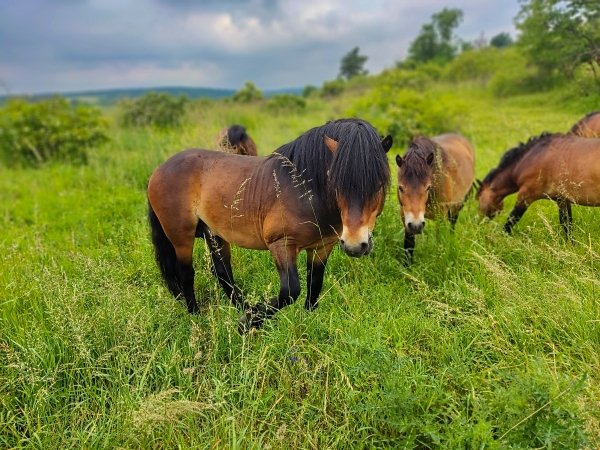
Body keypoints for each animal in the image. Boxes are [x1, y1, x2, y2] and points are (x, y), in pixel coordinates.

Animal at [149, 118, 394, 332]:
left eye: (379, 184)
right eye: (336, 183)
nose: (355, 245)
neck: (304, 189)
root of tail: (160, 169)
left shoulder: (323, 247)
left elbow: (314, 285)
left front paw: (305, 322)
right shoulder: (281, 244)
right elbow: (290, 291)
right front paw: (248, 323)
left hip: (214, 233)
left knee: (222, 272)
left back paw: (244, 307)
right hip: (181, 236)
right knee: (186, 273)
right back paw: (197, 315)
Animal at [396, 132, 476, 262]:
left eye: (428, 187)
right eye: (400, 188)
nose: (416, 225)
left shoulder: (441, 216)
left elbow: (440, 242)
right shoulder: (405, 217)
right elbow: (409, 245)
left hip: (457, 205)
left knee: (452, 223)